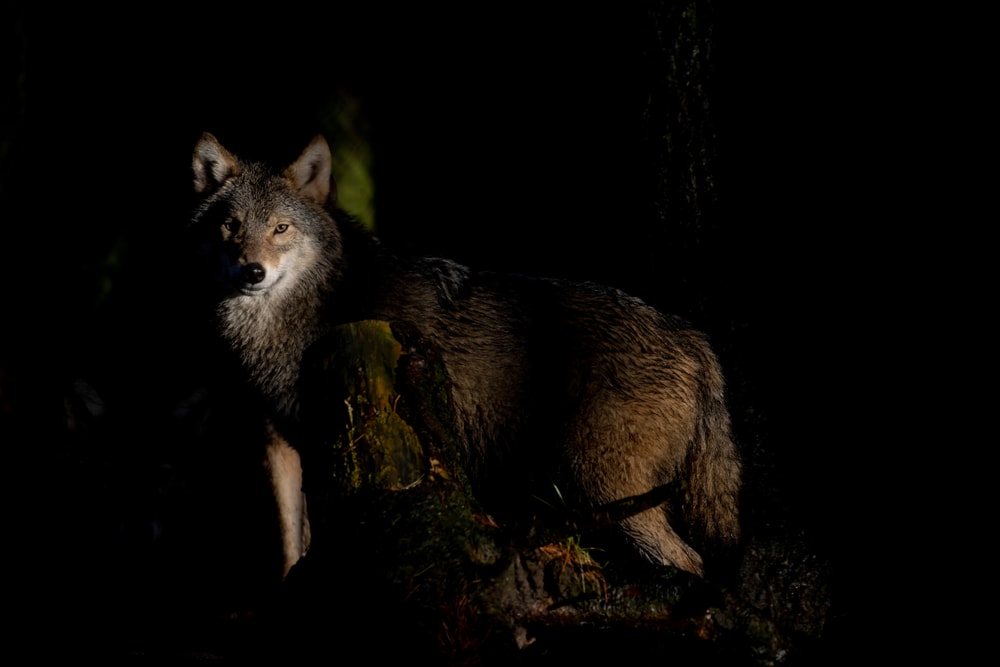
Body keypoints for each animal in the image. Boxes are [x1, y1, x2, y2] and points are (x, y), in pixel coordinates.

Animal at [190, 132, 741, 579]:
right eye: (231, 227)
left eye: (281, 228)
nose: (253, 272)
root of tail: (692, 337)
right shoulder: (279, 442)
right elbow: (290, 546)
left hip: (606, 487)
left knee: (690, 561)